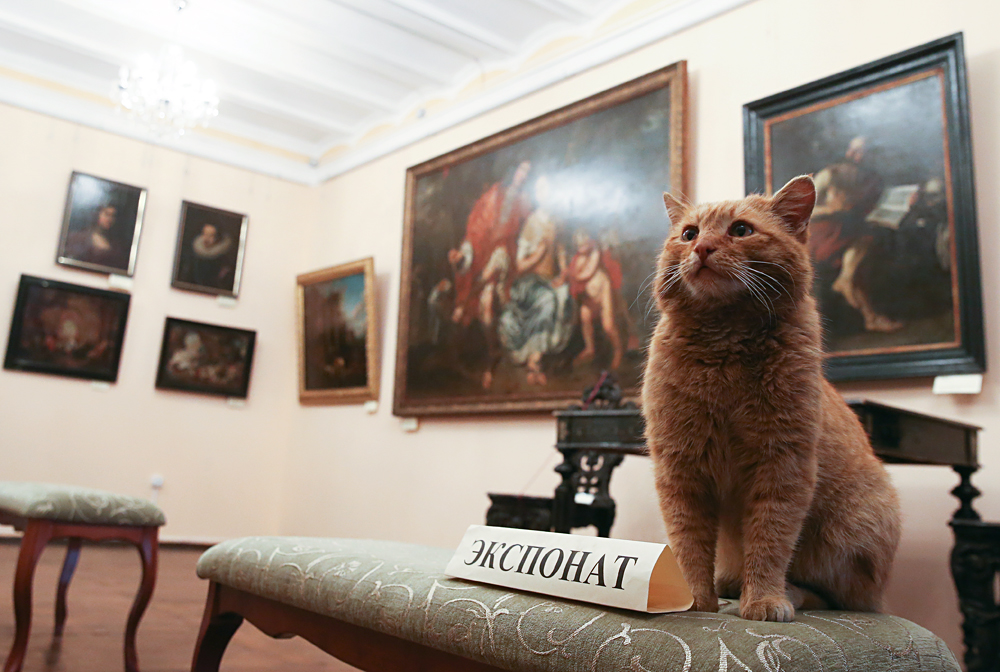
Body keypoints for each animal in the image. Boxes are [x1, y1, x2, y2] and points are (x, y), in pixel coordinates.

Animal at [644, 176, 904, 624]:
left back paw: (785, 593)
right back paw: (727, 585)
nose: (702, 247)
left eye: (741, 230)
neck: (724, 349)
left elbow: (770, 540)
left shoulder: (782, 465)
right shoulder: (681, 468)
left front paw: (763, 600)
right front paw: (694, 599)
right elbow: (688, 544)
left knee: (837, 597)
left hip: (855, 531)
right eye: (689, 233)